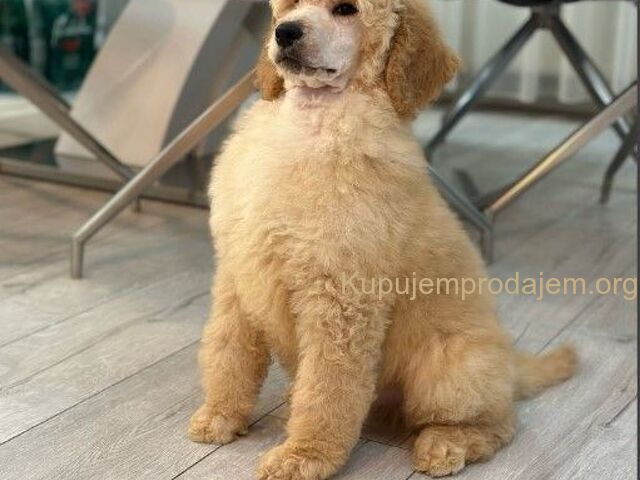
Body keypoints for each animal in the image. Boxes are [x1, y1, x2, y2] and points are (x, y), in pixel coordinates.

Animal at [188, 1, 578, 478]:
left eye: (346, 9)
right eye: (289, 6)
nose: (285, 33)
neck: (313, 122)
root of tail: (511, 366)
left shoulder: (341, 301)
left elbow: (328, 388)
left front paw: (306, 455)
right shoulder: (237, 275)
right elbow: (229, 352)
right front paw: (220, 415)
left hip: (447, 369)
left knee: (498, 424)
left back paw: (447, 444)